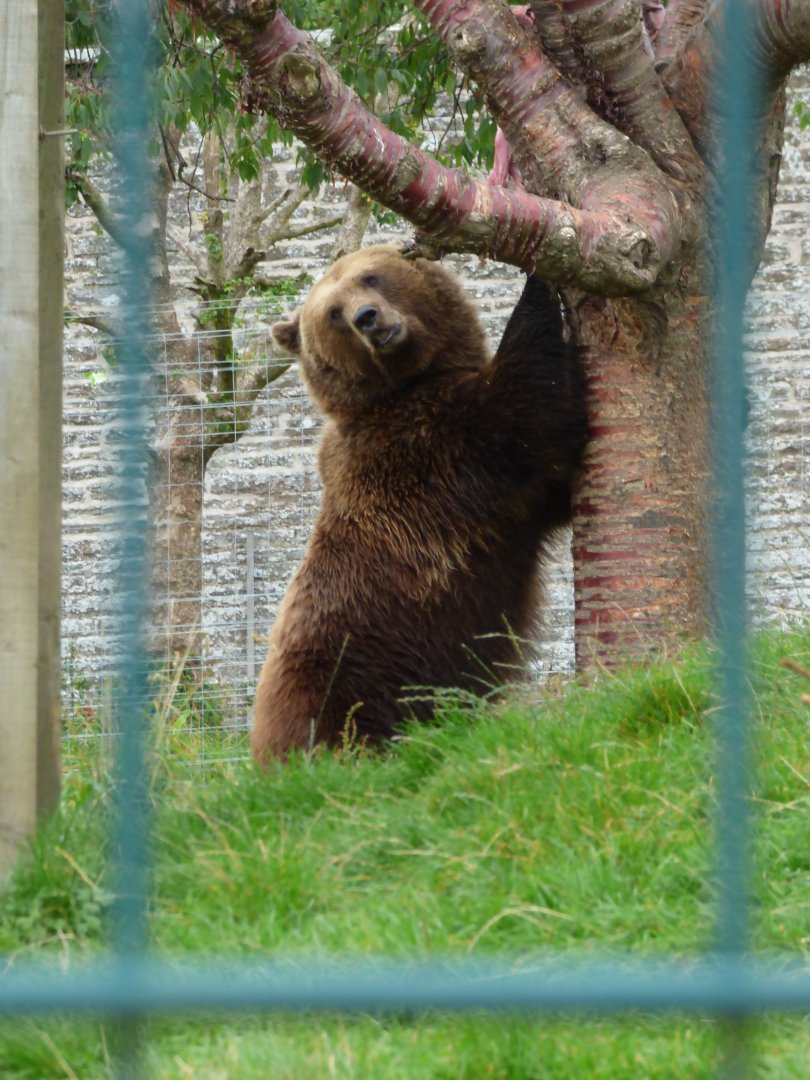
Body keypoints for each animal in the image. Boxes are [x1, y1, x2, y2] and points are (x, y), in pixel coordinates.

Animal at [251, 243, 586, 762]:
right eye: (332, 313)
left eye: (370, 277)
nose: (367, 318)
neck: (407, 386)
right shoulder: (431, 450)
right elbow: (527, 405)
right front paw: (537, 279)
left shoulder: (518, 503)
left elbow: (555, 484)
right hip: (339, 689)